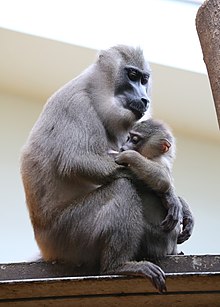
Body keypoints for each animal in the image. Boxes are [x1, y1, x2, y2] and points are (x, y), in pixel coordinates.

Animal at [21, 45, 172, 294]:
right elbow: (76, 161)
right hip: (68, 236)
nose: (144, 98)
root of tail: (46, 249)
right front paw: (171, 196)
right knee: (122, 187)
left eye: (144, 79)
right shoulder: (77, 104)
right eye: (132, 75)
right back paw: (118, 266)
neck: (93, 92)